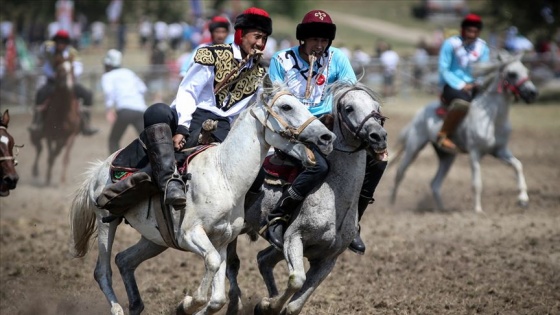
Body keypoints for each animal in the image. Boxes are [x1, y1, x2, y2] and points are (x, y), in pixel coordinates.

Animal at [29, 53, 80, 186]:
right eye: (60, 70)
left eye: (72, 68)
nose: (68, 85)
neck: (63, 112)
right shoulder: (49, 135)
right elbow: (51, 155)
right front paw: (48, 178)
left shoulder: (70, 136)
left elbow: (62, 155)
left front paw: (62, 180)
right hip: (36, 134)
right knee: (39, 149)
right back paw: (35, 171)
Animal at [68, 81, 334, 315]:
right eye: (286, 107)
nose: (326, 137)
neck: (224, 176)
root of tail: (100, 169)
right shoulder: (190, 234)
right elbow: (212, 263)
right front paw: (187, 303)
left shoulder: (222, 240)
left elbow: (217, 297)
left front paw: (190, 306)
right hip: (107, 221)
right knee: (102, 271)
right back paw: (117, 309)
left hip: (155, 238)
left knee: (124, 260)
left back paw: (136, 305)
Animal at [225, 81, 388, 315]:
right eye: (349, 108)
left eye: (376, 107)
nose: (379, 136)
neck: (337, 203)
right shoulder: (294, 238)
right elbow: (296, 280)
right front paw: (268, 304)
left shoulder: (328, 259)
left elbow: (296, 303)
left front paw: (268, 305)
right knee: (233, 263)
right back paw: (234, 302)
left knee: (263, 260)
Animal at [390, 51, 540, 214]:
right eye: (512, 74)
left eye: (526, 71)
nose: (532, 93)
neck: (491, 118)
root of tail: (420, 113)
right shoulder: (474, 153)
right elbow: (477, 183)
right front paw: (478, 210)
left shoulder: (500, 151)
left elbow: (518, 166)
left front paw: (523, 199)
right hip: (414, 146)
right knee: (400, 172)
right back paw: (391, 205)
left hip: (447, 157)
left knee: (435, 184)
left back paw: (442, 209)